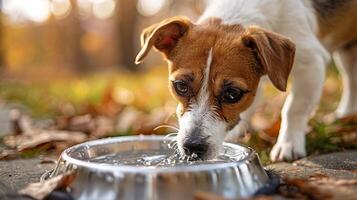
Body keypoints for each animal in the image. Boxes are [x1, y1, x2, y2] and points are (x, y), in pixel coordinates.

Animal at [134, 0, 356, 162]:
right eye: (180, 86)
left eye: (233, 94)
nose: (193, 148)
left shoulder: (312, 64)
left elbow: (294, 108)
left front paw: (289, 144)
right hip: (347, 51)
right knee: (350, 78)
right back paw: (346, 115)